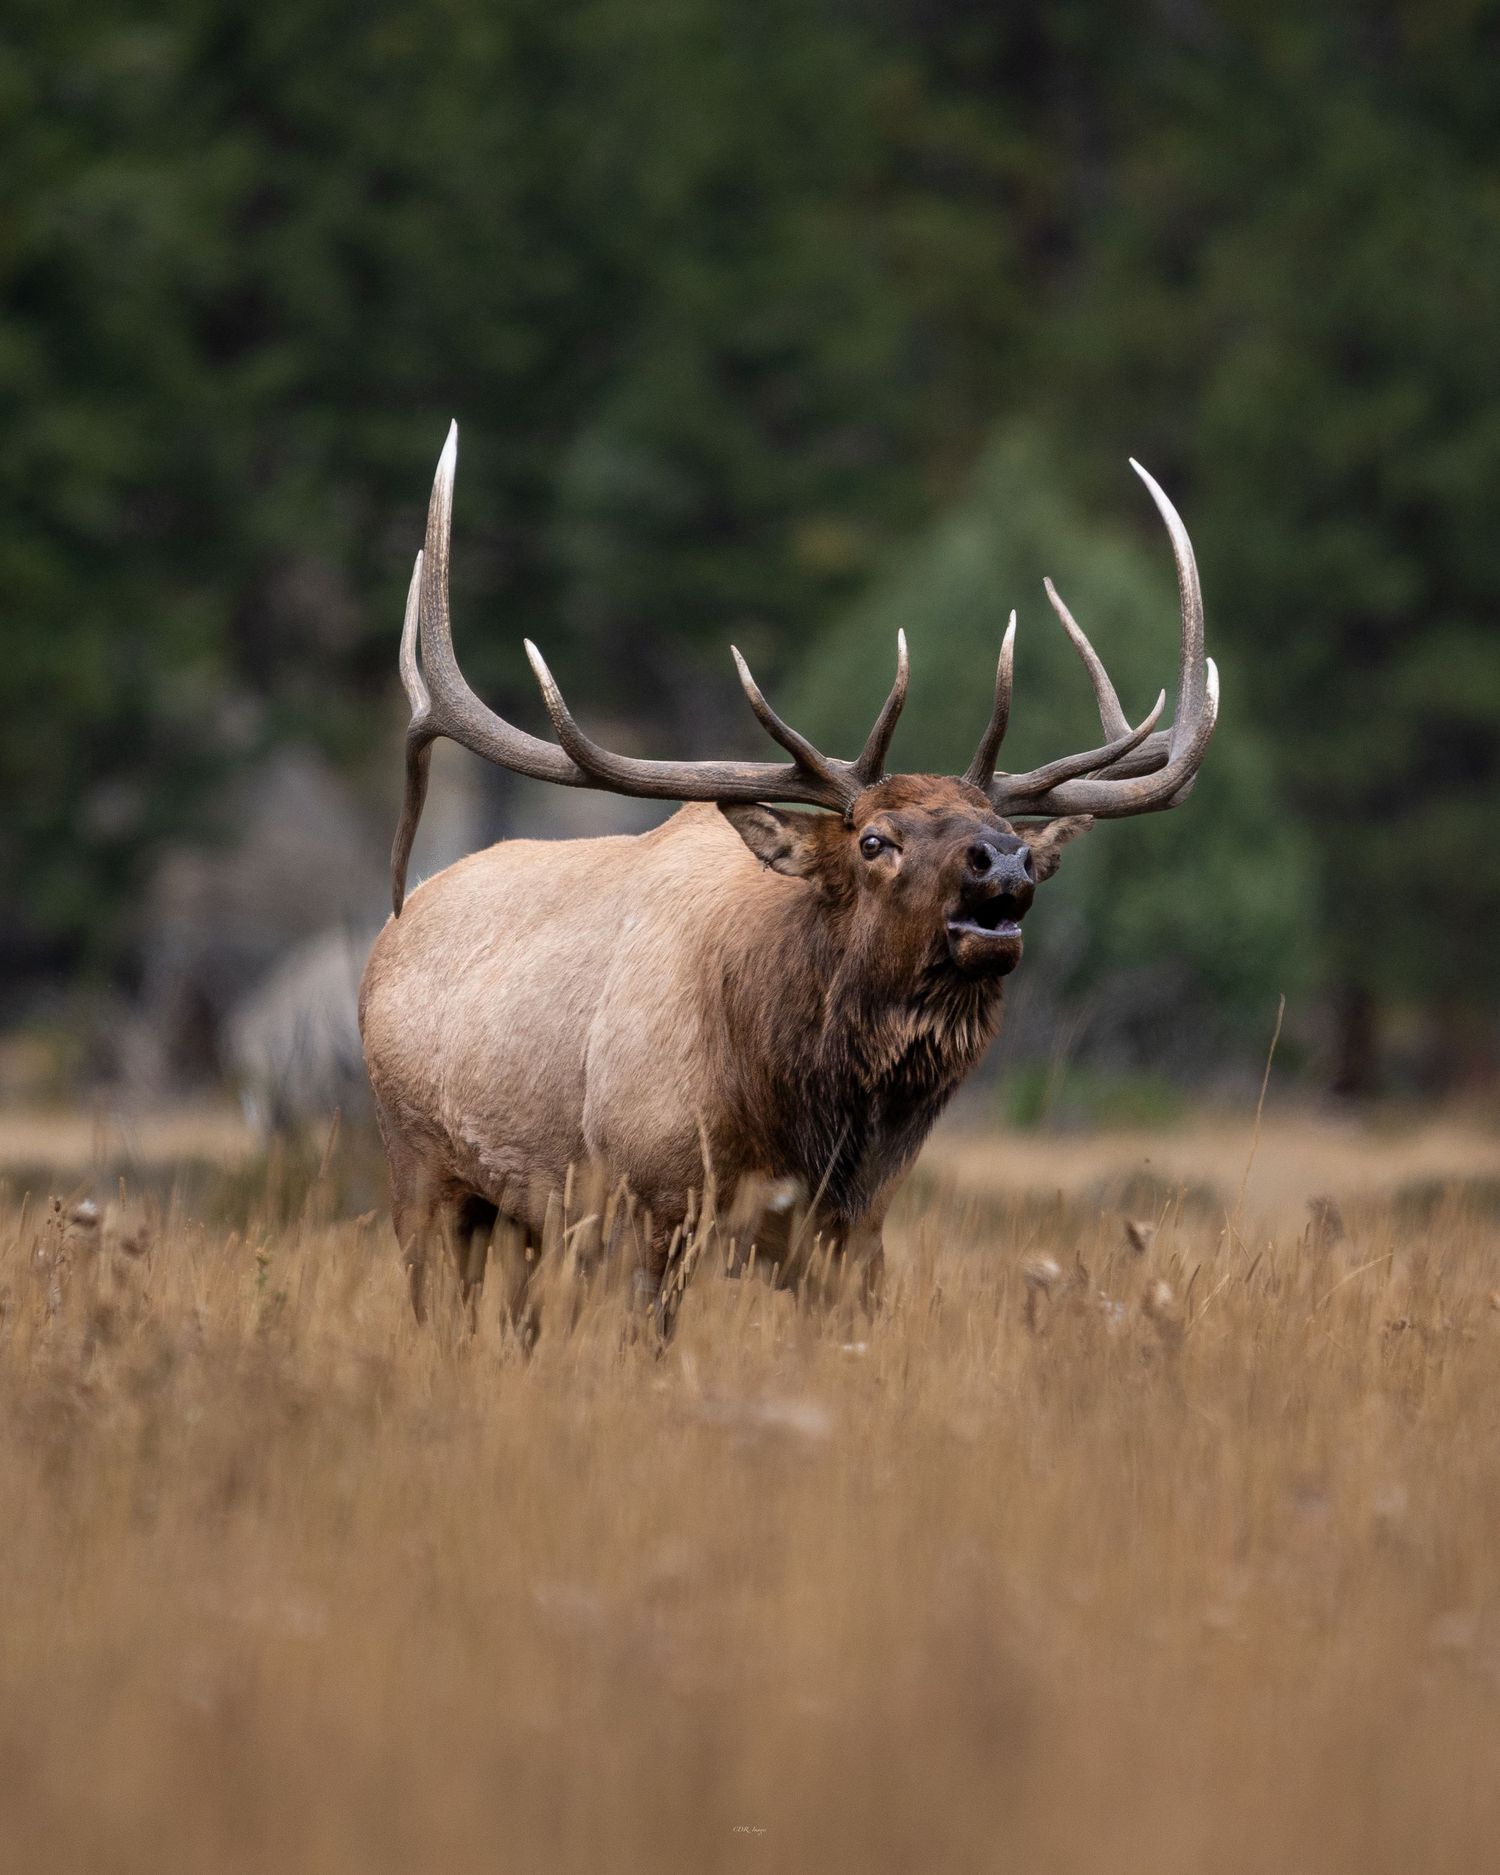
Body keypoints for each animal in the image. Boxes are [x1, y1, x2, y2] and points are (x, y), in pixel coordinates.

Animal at [359, 424, 1218, 1331]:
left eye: (1008, 831)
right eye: (874, 840)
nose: (1005, 860)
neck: (801, 1114)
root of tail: (390, 931)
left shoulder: (852, 1231)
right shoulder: (644, 1201)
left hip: (521, 1219)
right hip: (421, 1168)